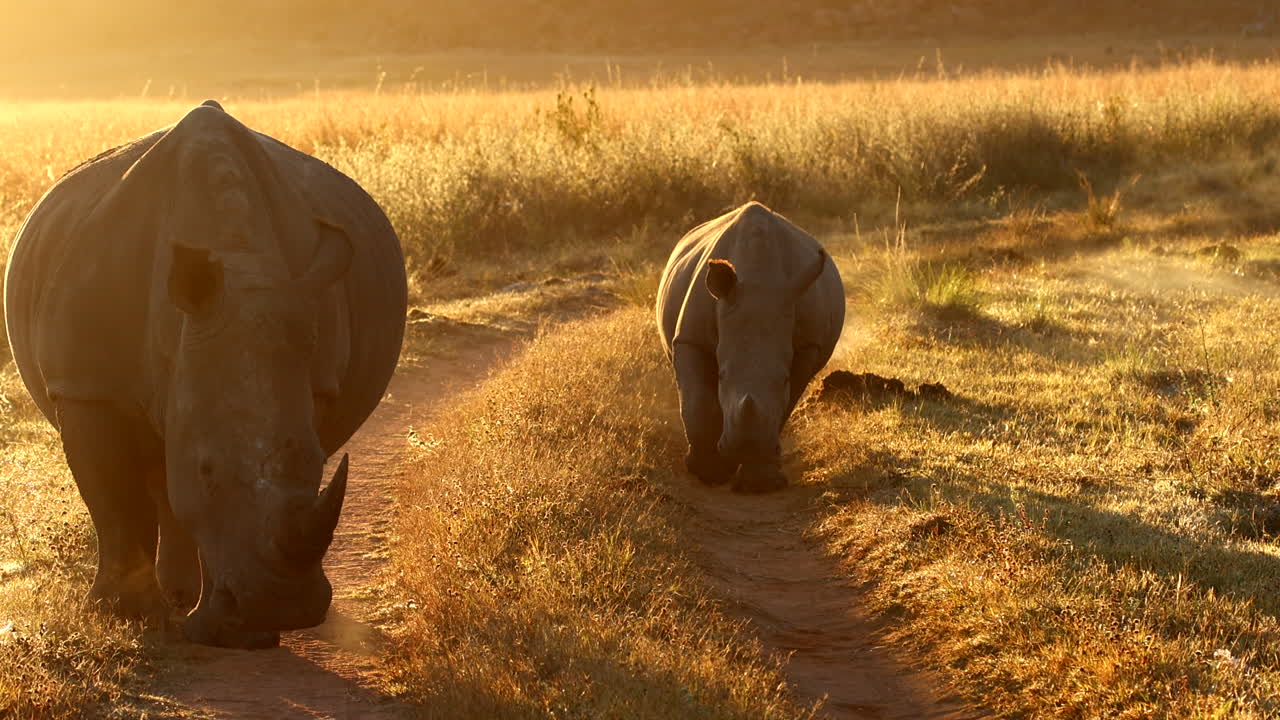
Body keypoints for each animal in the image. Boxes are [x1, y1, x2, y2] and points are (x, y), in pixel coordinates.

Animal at [4, 101, 408, 648]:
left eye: (319, 464)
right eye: (206, 470)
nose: (287, 607)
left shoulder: (313, 376)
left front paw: (239, 634)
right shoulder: (87, 385)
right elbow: (114, 499)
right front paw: (124, 618)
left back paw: (186, 601)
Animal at [656, 202, 844, 493]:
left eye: (784, 379)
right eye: (722, 376)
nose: (744, 448)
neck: (759, 278)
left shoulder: (807, 345)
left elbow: (784, 403)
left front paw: (760, 483)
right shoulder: (689, 337)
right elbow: (696, 402)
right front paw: (709, 473)